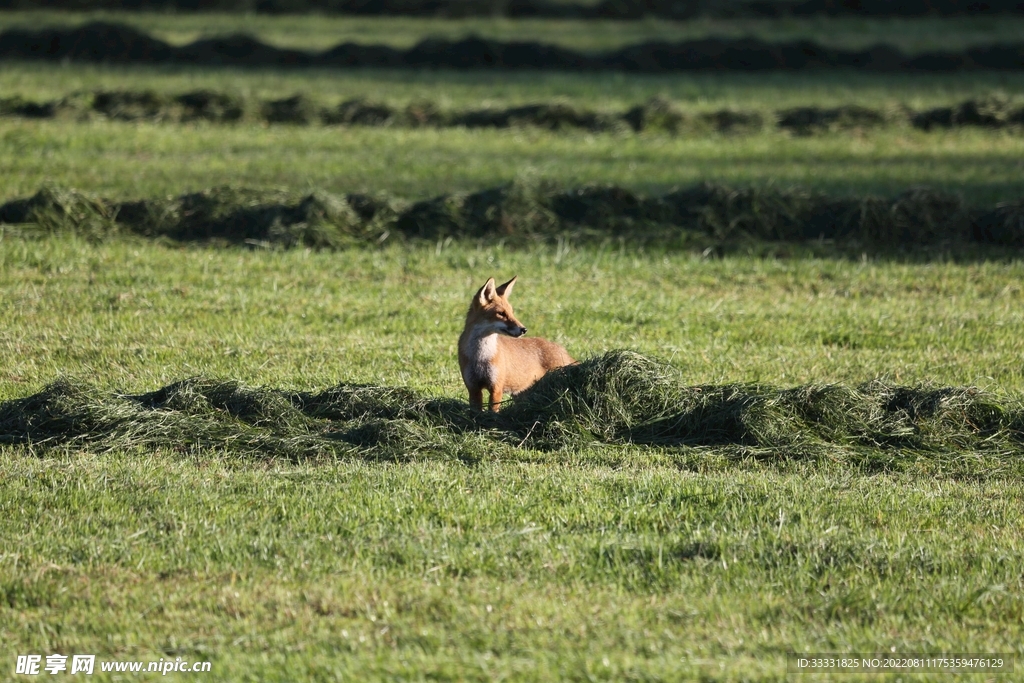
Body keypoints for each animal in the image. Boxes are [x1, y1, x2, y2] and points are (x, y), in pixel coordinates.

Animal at [458, 276, 573, 411]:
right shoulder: (473, 388)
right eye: (501, 313)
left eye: (512, 312)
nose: (524, 329)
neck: (480, 357)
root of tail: (561, 348)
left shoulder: (496, 388)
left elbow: (493, 411)